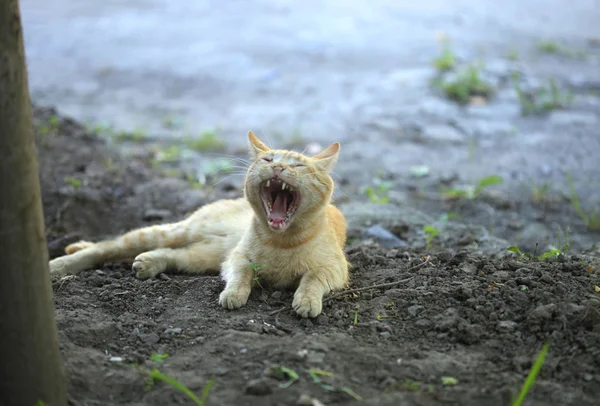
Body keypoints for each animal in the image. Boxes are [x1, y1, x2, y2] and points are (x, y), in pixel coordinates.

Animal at [52, 132, 352, 318]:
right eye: (268, 159)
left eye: (298, 166)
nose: (278, 168)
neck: (281, 240)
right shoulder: (237, 259)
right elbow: (242, 274)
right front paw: (233, 293)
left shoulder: (335, 268)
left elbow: (312, 279)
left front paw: (306, 300)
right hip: (176, 233)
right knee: (107, 247)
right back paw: (61, 264)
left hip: (204, 257)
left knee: (174, 255)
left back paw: (149, 262)